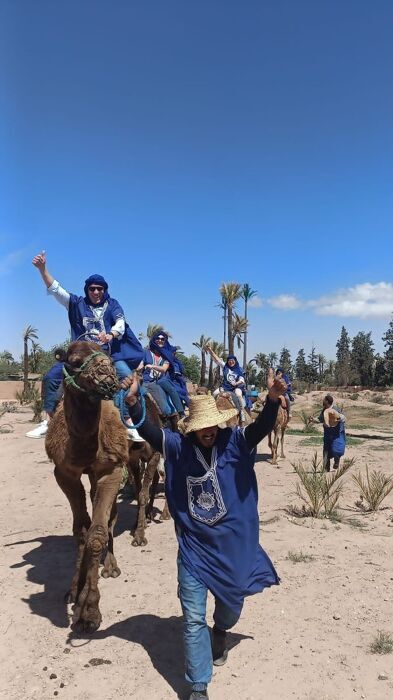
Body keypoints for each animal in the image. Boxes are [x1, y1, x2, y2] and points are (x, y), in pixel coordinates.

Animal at [45, 340, 127, 636]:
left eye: (109, 358)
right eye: (74, 361)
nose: (108, 377)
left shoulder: (111, 470)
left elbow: (97, 533)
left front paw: (88, 612)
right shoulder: (64, 473)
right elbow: (81, 530)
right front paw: (74, 591)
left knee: (111, 518)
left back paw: (111, 566)